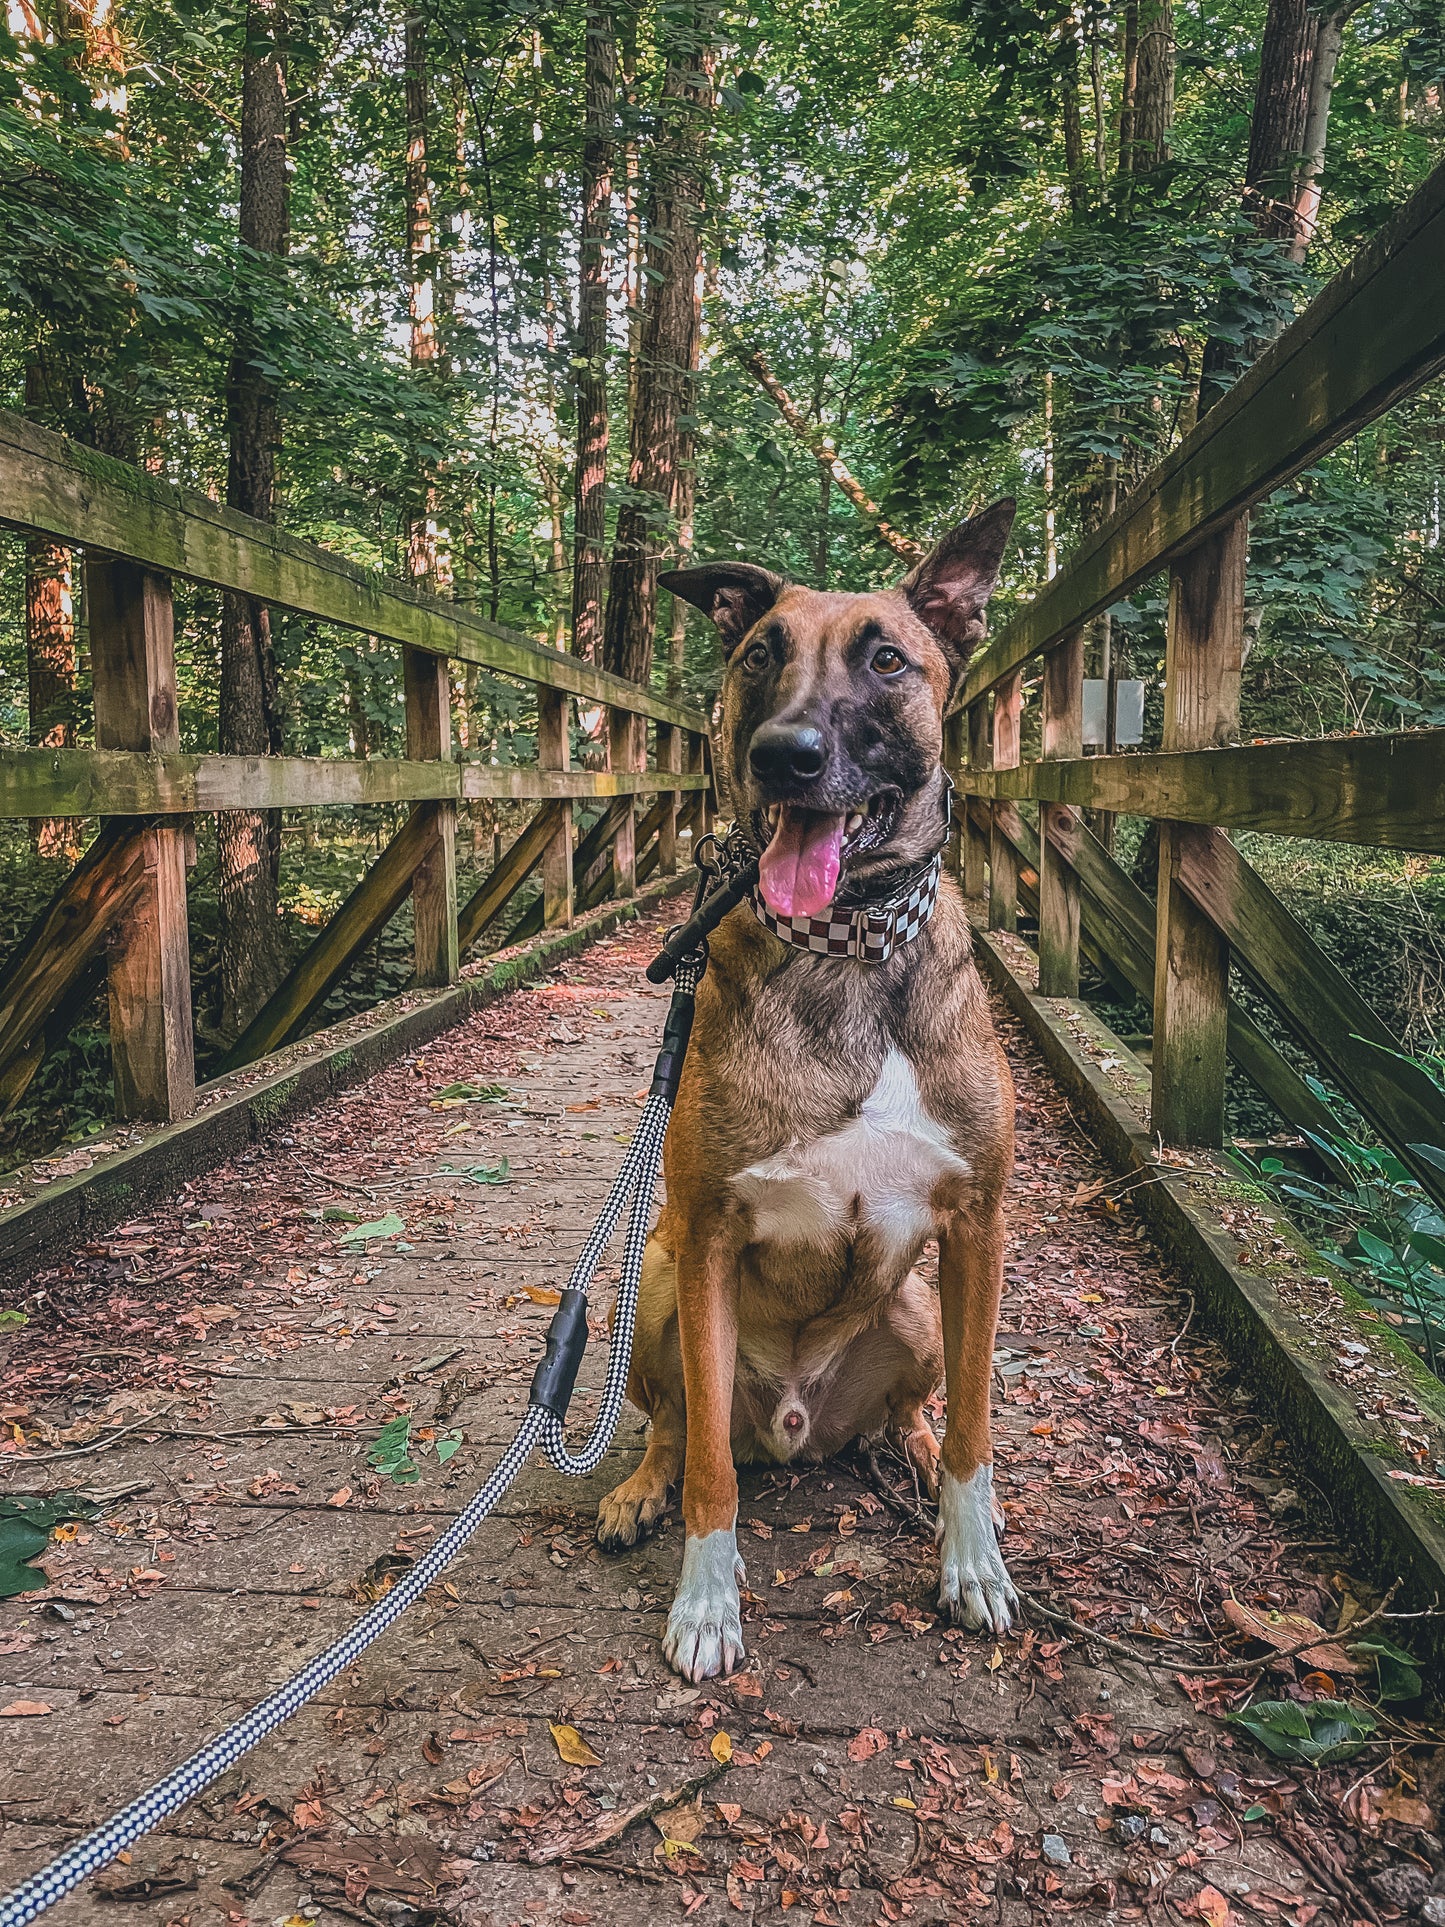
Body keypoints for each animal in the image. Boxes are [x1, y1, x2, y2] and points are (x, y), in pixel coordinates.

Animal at [597, 504, 1017, 1680]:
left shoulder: (977, 1224)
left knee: (914, 1411)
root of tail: (794, 1427)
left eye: (887, 661)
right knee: (674, 1424)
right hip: (653, 1288)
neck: (848, 949)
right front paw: (704, 1602)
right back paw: (637, 1489)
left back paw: (905, 1448)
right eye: (755, 656)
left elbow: (974, 1428)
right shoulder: (703, 1235)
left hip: (916, 1310)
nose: (782, 755)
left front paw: (972, 1561)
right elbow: (708, 1469)